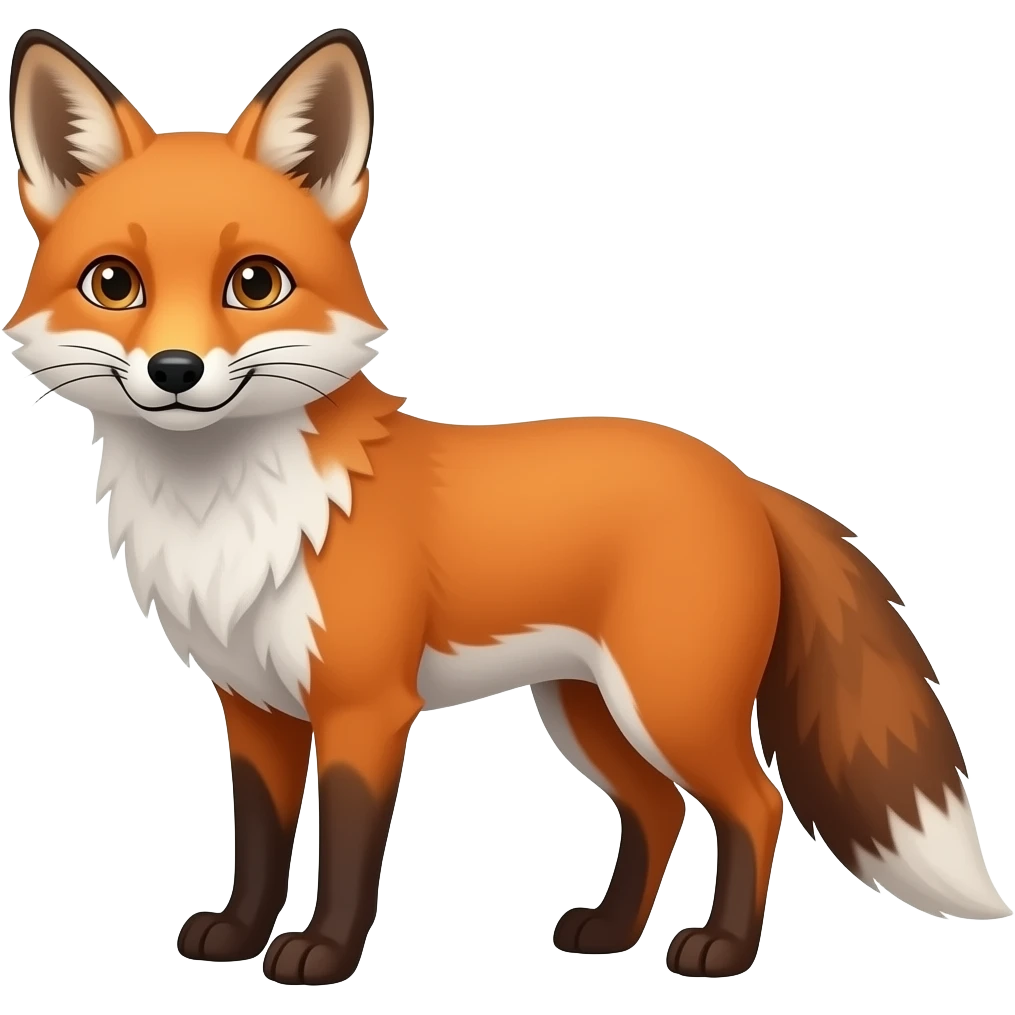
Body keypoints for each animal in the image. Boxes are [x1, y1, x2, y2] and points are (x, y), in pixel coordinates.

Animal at [5, 26, 1010, 987]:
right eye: (114, 283)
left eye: (255, 283)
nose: (175, 371)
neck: (227, 510)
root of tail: (742, 479)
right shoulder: (253, 706)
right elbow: (257, 842)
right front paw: (238, 935)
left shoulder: (365, 707)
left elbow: (349, 850)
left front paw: (322, 955)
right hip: (587, 709)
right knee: (657, 809)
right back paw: (608, 933)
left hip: (667, 704)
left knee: (753, 805)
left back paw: (720, 949)